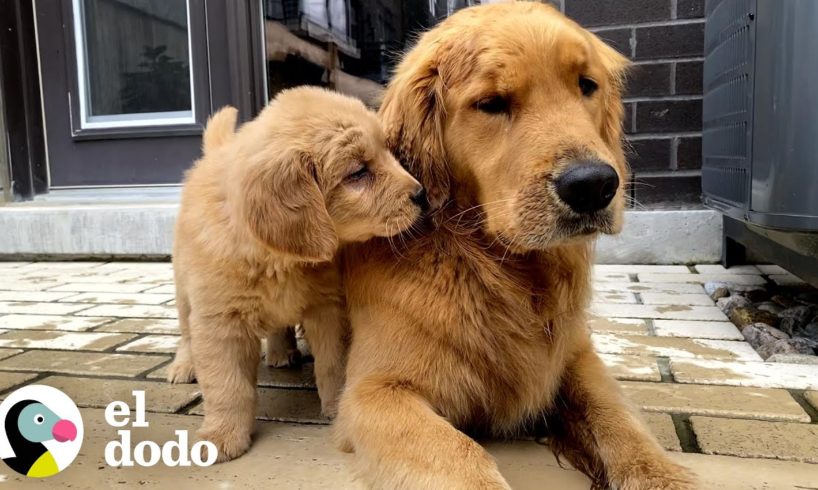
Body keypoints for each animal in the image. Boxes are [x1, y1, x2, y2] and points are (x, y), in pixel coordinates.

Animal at [165, 86, 420, 462]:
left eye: (387, 152)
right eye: (358, 172)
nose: (422, 194)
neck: (282, 261)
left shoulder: (329, 309)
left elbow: (333, 365)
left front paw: (337, 409)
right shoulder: (220, 322)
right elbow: (228, 385)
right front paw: (222, 435)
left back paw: (281, 351)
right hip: (184, 290)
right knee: (185, 332)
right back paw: (184, 366)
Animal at [332, 3, 696, 490]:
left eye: (586, 85)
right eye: (491, 103)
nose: (593, 186)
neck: (497, 268)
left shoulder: (574, 355)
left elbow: (620, 420)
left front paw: (662, 474)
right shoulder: (375, 390)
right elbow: (460, 456)